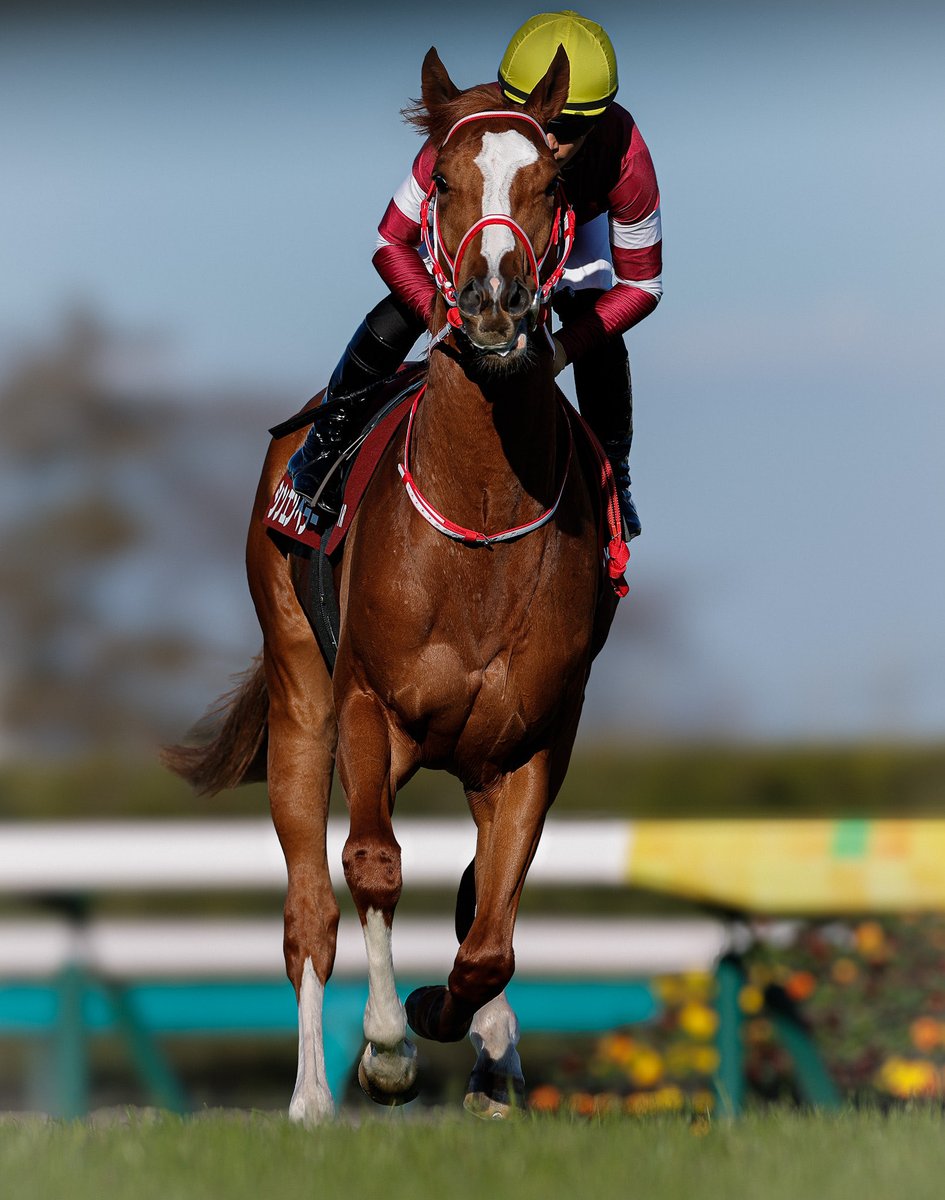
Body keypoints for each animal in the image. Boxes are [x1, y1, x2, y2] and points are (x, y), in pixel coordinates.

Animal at [165, 45, 623, 1123]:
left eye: (549, 186)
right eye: (443, 182)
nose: (494, 304)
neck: (483, 518)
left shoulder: (534, 741)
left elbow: (489, 929)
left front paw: (460, 1028)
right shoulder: (368, 705)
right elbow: (372, 866)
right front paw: (386, 1048)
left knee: (471, 899)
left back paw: (488, 1054)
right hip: (302, 701)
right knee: (310, 905)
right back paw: (310, 1096)